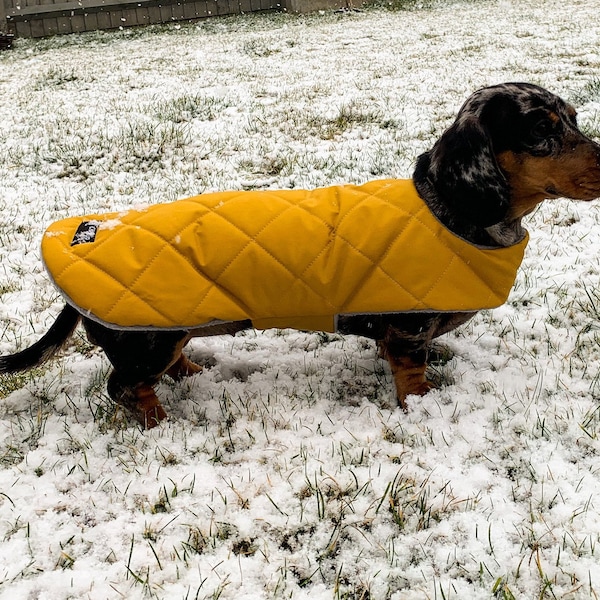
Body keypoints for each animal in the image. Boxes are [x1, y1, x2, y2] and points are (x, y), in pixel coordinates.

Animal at [1, 82, 600, 428]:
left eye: (572, 117)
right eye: (540, 130)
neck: (447, 211)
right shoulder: (406, 328)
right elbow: (410, 373)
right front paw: (422, 408)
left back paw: (191, 370)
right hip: (146, 338)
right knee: (123, 386)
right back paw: (159, 422)